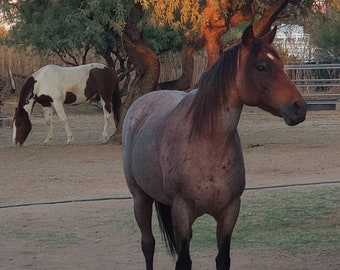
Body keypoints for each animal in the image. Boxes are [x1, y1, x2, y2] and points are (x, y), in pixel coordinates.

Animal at [123, 25, 308, 270]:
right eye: (261, 67)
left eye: (279, 63)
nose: (299, 108)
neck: (208, 145)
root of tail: (142, 102)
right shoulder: (181, 212)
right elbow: (183, 261)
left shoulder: (230, 211)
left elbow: (222, 258)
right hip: (140, 198)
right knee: (148, 244)